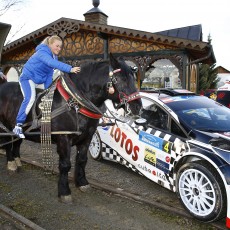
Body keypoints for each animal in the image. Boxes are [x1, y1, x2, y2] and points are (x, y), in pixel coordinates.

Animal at [0, 54, 142, 201]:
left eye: (133, 78)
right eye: (120, 79)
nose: (137, 107)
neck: (75, 103)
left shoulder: (87, 137)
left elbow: (82, 160)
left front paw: (82, 182)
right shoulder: (64, 137)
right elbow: (65, 164)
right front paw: (64, 191)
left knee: (17, 143)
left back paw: (17, 161)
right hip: (5, 127)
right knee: (7, 143)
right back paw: (11, 164)